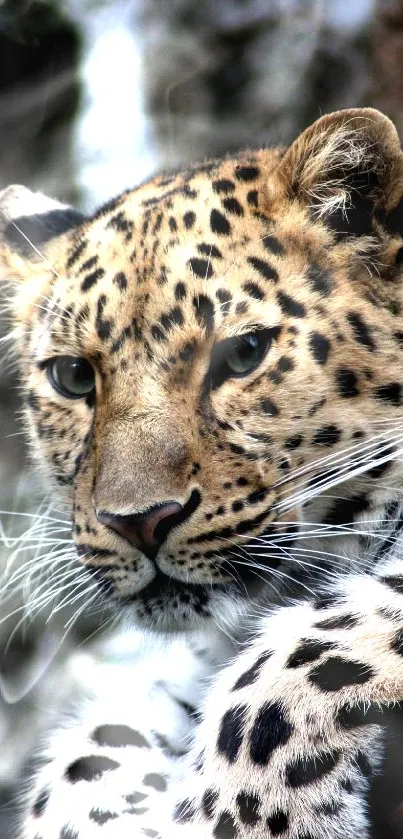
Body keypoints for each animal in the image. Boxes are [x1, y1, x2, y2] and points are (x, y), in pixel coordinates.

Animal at [2, 106, 403, 839]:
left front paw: (247, 815)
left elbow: (305, 650)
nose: (138, 522)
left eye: (243, 354)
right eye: (73, 376)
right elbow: (88, 752)